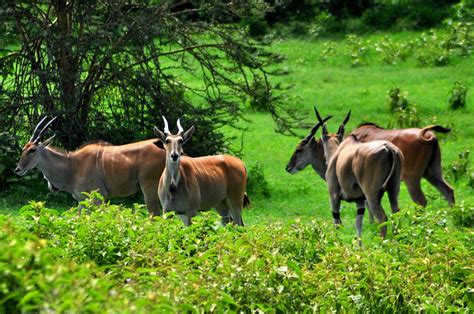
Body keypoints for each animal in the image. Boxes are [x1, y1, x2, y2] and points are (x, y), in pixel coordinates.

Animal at [14, 116, 167, 215]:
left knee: (155, 214)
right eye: (24, 148)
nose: (18, 169)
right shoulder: (82, 201)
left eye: (32, 150)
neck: (73, 166)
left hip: (149, 187)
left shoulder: (98, 197)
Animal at [316, 109, 402, 244]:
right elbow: (358, 223)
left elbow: (337, 223)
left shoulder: (334, 197)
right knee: (395, 214)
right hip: (393, 191)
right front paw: (359, 246)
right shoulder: (360, 201)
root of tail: (389, 148)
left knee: (382, 218)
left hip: (372, 195)